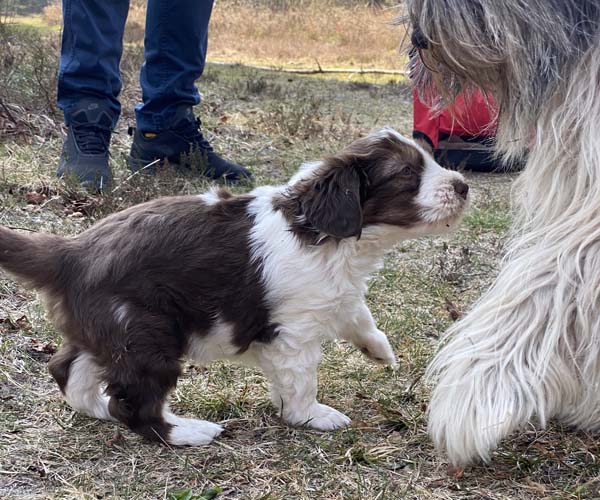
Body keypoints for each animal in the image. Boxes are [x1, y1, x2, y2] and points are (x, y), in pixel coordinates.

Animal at [0, 128, 468, 446]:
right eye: (407, 173)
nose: (462, 185)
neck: (323, 232)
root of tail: (71, 251)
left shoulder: (334, 292)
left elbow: (357, 311)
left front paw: (379, 350)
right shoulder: (293, 332)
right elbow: (301, 380)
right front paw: (312, 416)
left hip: (106, 331)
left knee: (67, 370)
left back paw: (97, 407)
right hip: (146, 335)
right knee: (132, 403)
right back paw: (188, 431)